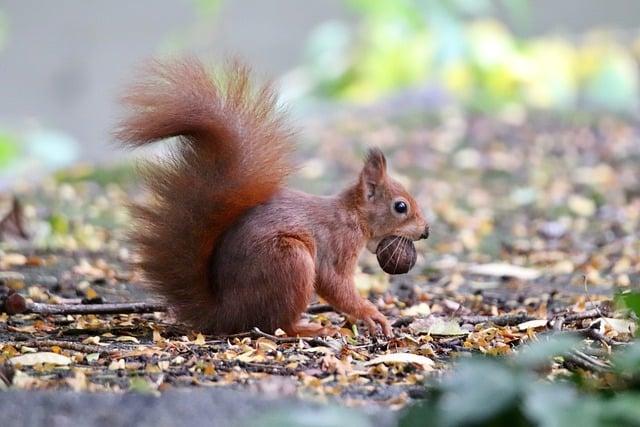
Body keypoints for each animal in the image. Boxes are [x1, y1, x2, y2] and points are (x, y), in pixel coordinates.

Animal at [116, 57, 430, 338]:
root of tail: (225, 313)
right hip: (290, 261)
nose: (426, 231)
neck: (353, 215)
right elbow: (334, 283)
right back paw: (309, 329)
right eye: (400, 207)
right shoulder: (337, 244)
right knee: (277, 324)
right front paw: (371, 314)